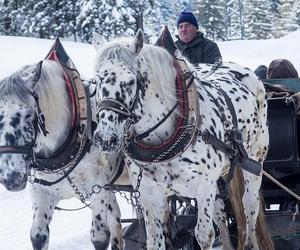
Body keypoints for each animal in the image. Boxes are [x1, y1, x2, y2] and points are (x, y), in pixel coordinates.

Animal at [0, 57, 123, 250]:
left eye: (27, 115)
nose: (11, 179)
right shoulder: (41, 192)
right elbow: (38, 236)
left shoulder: (99, 191)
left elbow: (100, 237)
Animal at [91, 30, 274, 249]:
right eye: (95, 82)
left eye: (130, 81)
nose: (105, 138)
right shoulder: (150, 194)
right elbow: (155, 240)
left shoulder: (203, 187)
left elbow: (204, 236)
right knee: (220, 211)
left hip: (254, 160)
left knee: (250, 205)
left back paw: (250, 242)